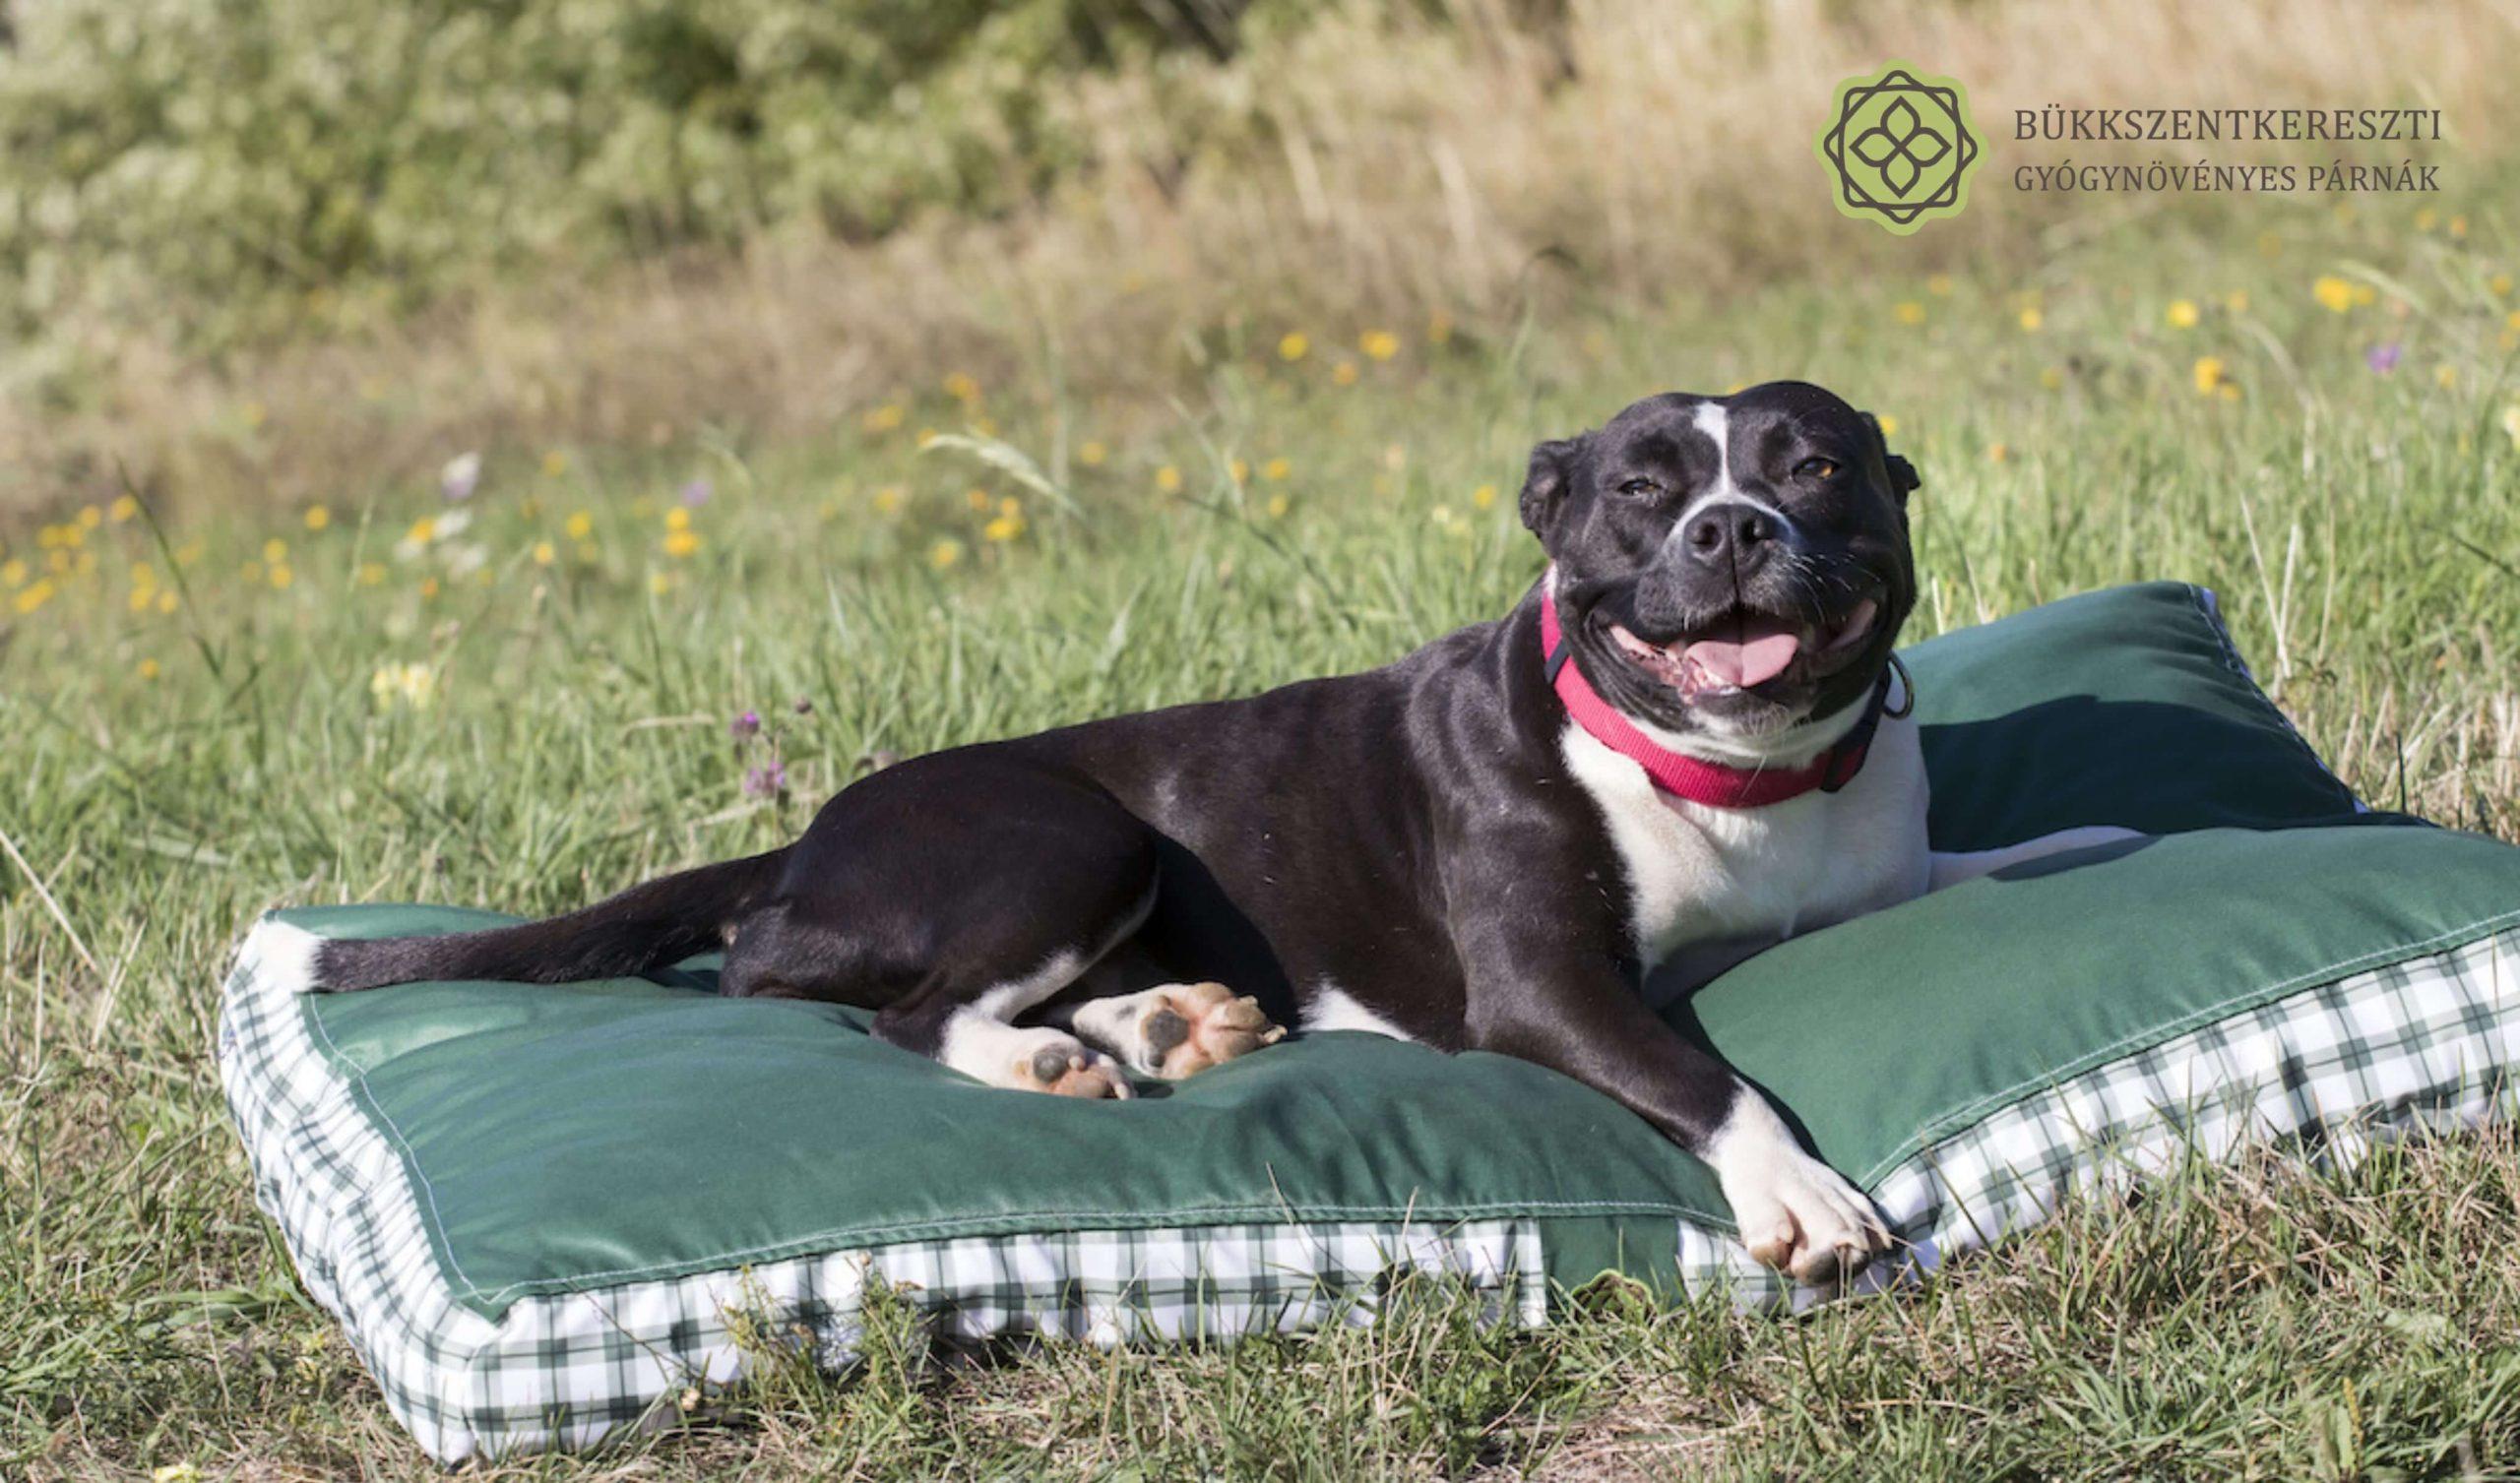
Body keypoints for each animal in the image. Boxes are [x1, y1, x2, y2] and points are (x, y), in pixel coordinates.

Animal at [320, 385, 2126, 1283]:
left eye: (1816, 466)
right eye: (1638, 489)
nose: (1730, 526)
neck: (1732, 776)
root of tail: (810, 836)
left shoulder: (1873, 860)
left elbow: (1965, 863)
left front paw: (2089, 833)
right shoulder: (1547, 989)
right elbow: (1703, 1073)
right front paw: (1801, 1193)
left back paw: (1159, 1024)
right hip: (1059, 838)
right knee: (888, 1008)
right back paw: (1052, 1055)